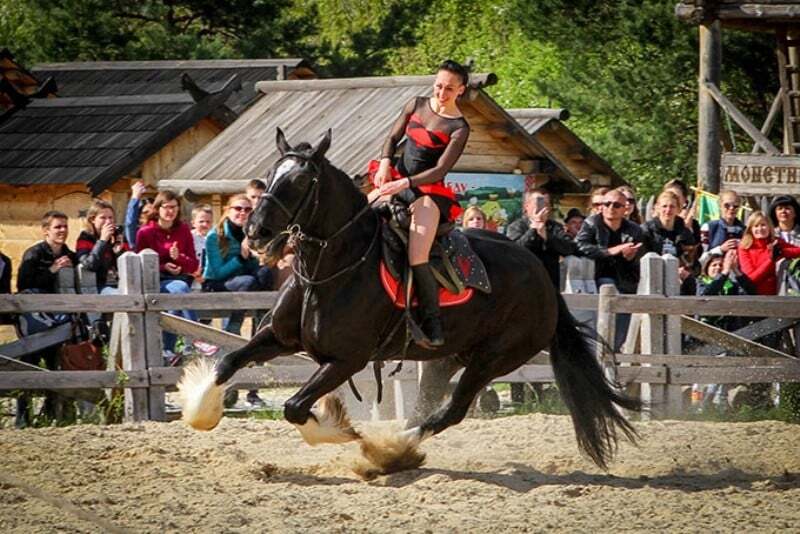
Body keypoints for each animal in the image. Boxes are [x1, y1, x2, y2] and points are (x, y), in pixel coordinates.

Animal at [178, 127, 640, 476]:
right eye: (271, 174)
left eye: (300, 182)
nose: (254, 232)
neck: (334, 269)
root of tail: (543, 276)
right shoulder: (277, 337)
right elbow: (227, 362)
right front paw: (202, 413)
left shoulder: (346, 360)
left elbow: (294, 408)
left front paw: (342, 429)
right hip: (449, 356)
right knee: (430, 402)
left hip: (493, 359)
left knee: (450, 411)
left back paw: (390, 449)